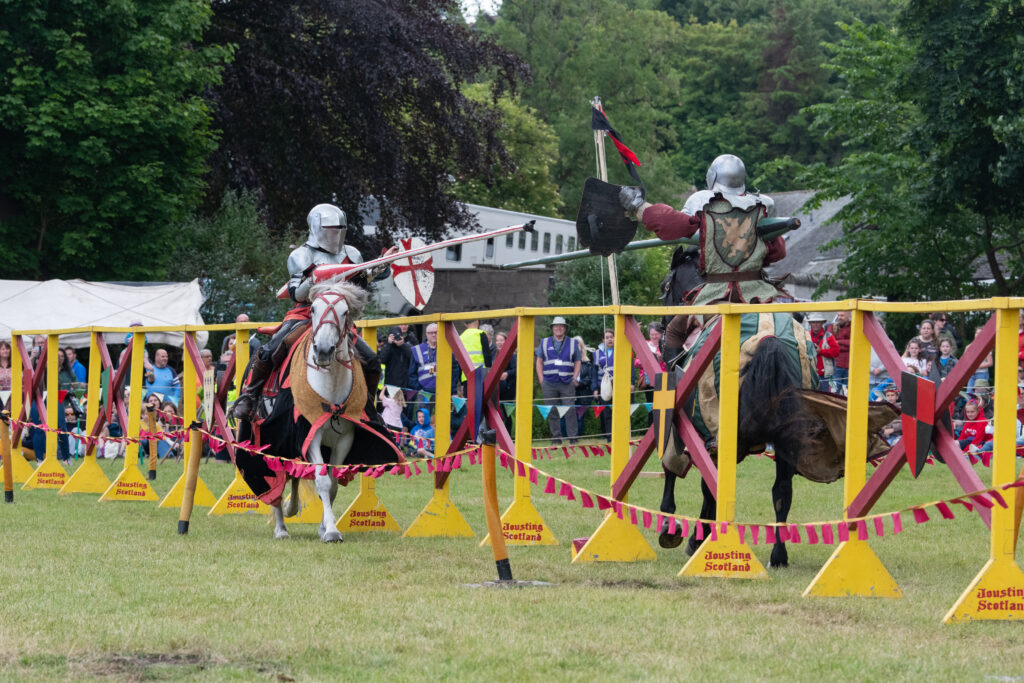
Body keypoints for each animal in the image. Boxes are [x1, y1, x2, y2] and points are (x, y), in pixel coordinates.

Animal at [270, 280, 370, 540]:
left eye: (345, 312)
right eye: (313, 308)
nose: (323, 350)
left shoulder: (344, 439)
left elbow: (332, 485)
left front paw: (326, 527)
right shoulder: (310, 435)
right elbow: (322, 482)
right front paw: (332, 531)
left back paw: (291, 508)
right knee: (279, 475)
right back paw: (281, 527)